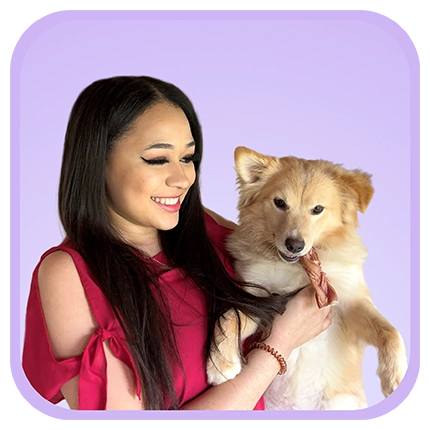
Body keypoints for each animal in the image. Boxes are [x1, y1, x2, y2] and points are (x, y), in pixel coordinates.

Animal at [207, 147, 408, 410]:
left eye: (317, 209)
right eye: (280, 203)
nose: (294, 245)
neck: (299, 266)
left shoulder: (350, 301)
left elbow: (389, 331)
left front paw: (395, 377)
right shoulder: (258, 296)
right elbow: (231, 315)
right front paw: (221, 363)